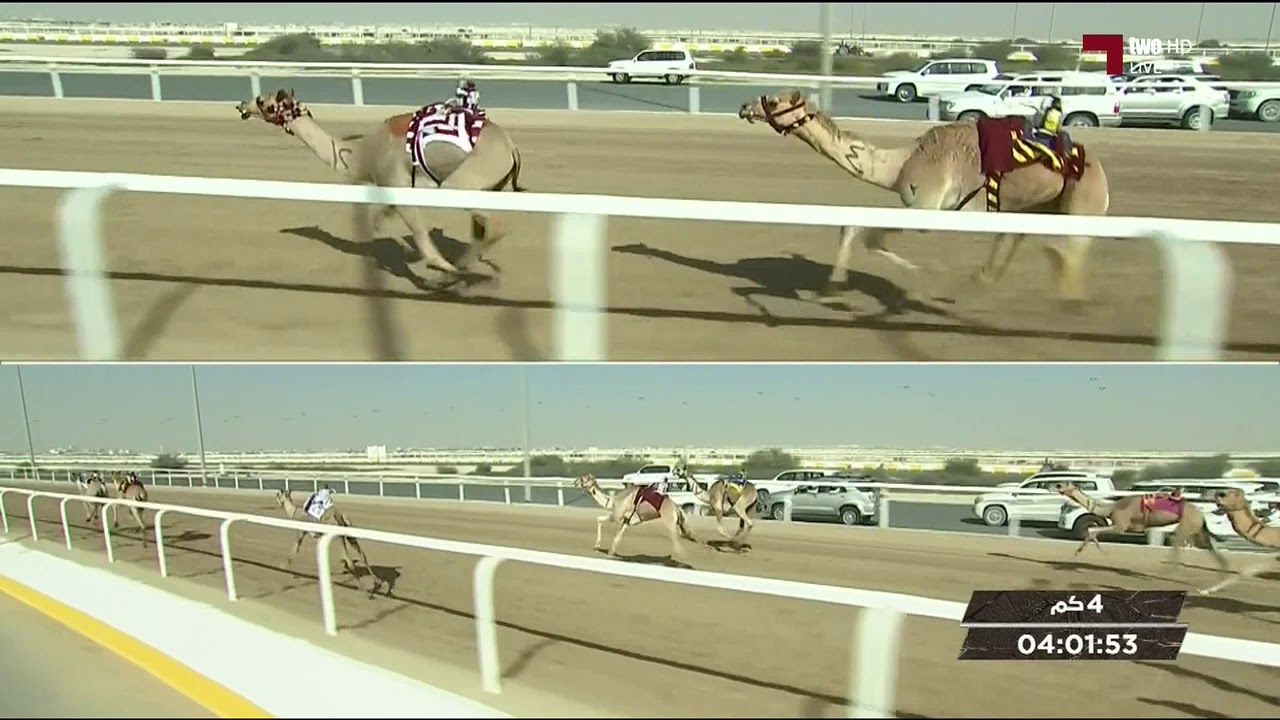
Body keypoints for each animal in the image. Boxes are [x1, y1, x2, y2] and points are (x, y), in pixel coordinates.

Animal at [235, 88, 526, 286]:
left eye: (264, 102)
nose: (242, 105)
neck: (362, 155)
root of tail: (511, 147)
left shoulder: (397, 185)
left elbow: (424, 244)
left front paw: (442, 273)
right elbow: (384, 220)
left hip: (462, 183)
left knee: (497, 223)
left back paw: (462, 272)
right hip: (489, 186)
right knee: (483, 230)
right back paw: (466, 269)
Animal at [738, 90, 1111, 307]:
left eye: (773, 101)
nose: (745, 107)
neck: (901, 163)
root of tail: (1100, 171)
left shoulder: (928, 205)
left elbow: (872, 237)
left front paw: (924, 276)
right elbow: (853, 228)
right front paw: (827, 287)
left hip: (1083, 201)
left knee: (1071, 249)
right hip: (1036, 205)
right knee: (1017, 239)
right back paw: (975, 286)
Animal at [1057, 483, 1230, 576]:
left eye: (1067, 484)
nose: (1058, 485)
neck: (1110, 508)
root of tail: (1201, 514)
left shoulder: (1121, 525)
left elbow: (1092, 531)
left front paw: (1095, 553)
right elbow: (1091, 532)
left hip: (1188, 524)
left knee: (1177, 541)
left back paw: (1166, 571)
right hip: (1198, 529)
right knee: (1210, 549)